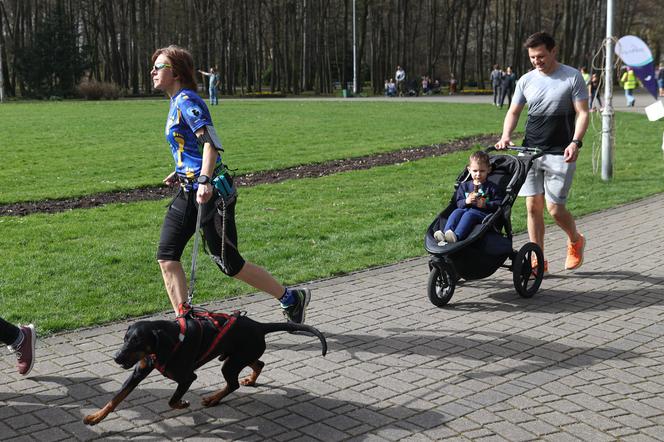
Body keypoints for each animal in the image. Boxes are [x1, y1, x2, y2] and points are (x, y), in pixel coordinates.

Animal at [84, 310, 328, 424]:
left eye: (137, 341)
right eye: (125, 339)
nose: (116, 358)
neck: (166, 341)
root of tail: (260, 326)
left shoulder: (187, 377)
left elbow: (172, 400)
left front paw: (182, 403)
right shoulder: (138, 371)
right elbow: (116, 398)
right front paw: (96, 417)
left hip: (231, 363)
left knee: (233, 384)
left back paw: (213, 399)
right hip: (236, 356)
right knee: (259, 363)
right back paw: (250, 379)